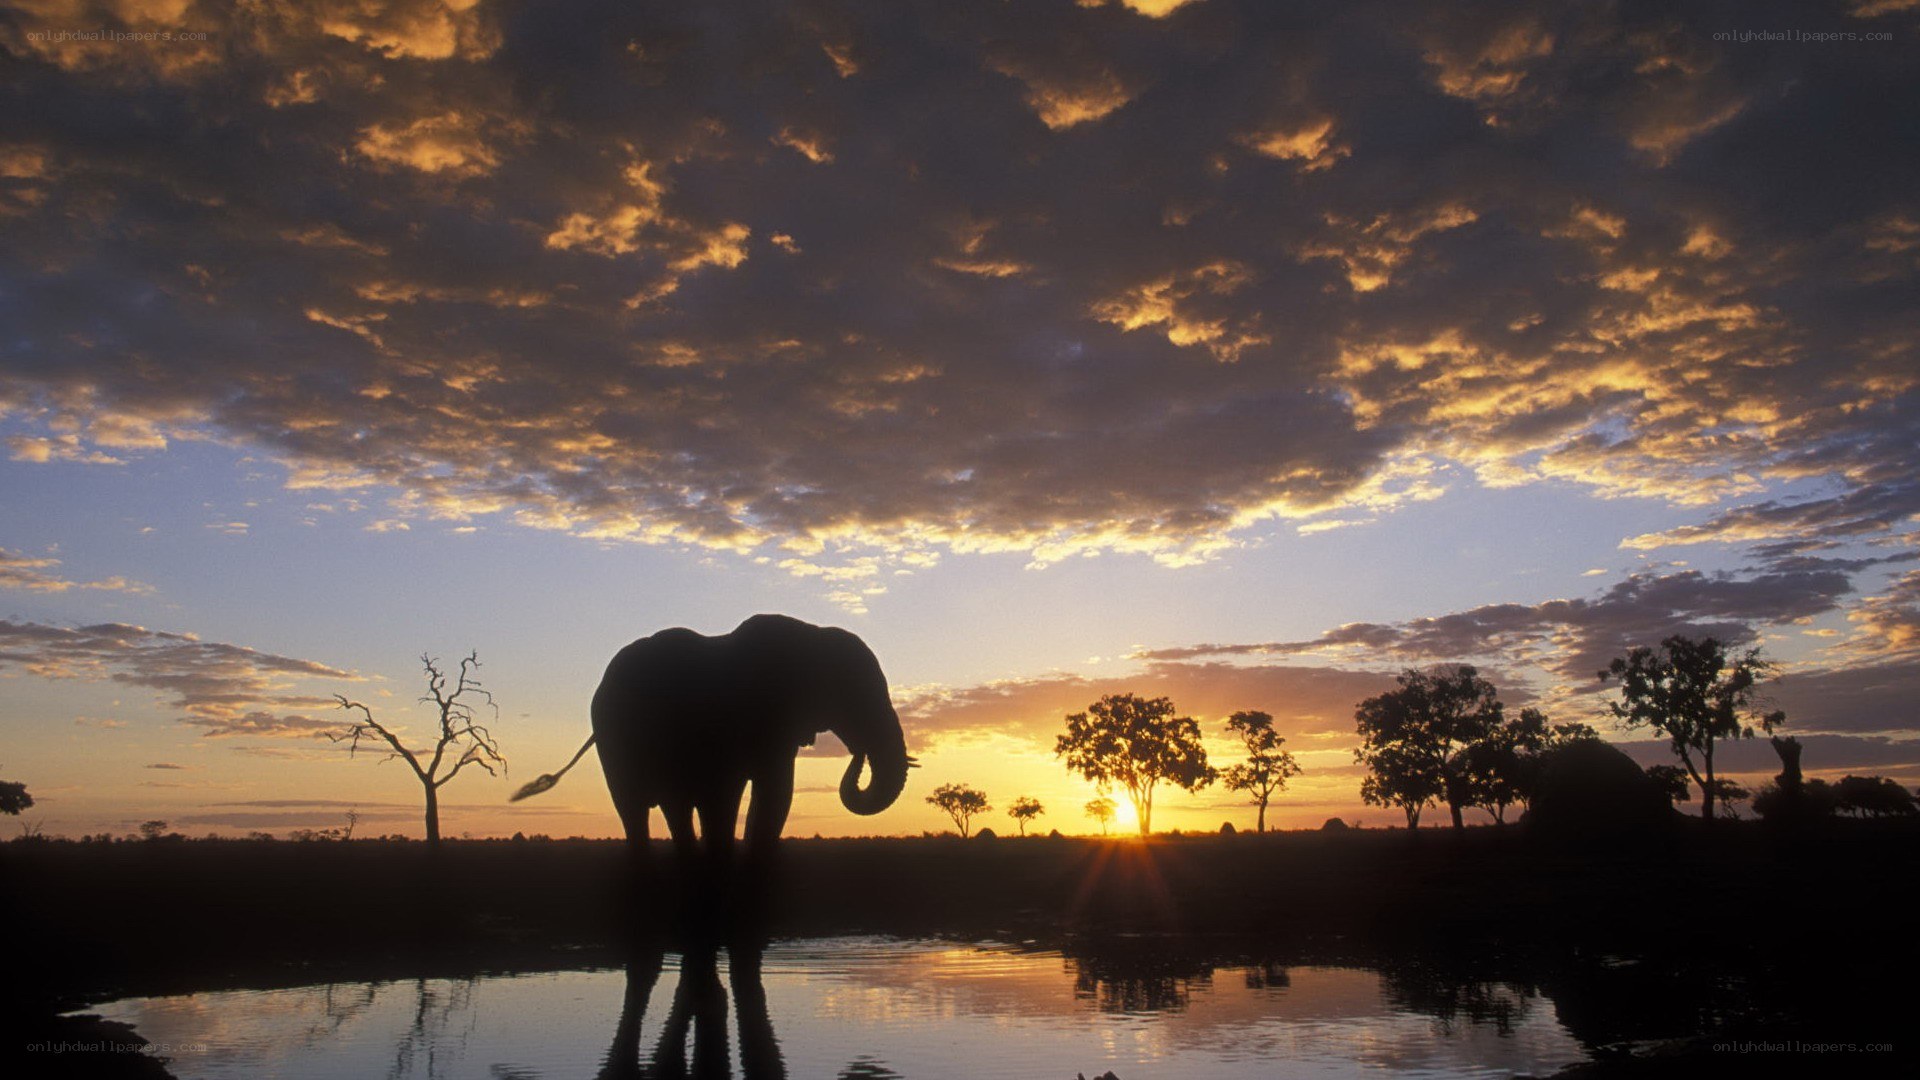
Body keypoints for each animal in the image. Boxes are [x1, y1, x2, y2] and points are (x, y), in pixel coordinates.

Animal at [514, 614, 913, 886]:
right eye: (854, 696)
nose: (858, 752)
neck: (809, 635)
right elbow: (728, 797)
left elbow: (775, 795)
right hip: (616, 742)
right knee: (637, 809)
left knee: (674, 807)